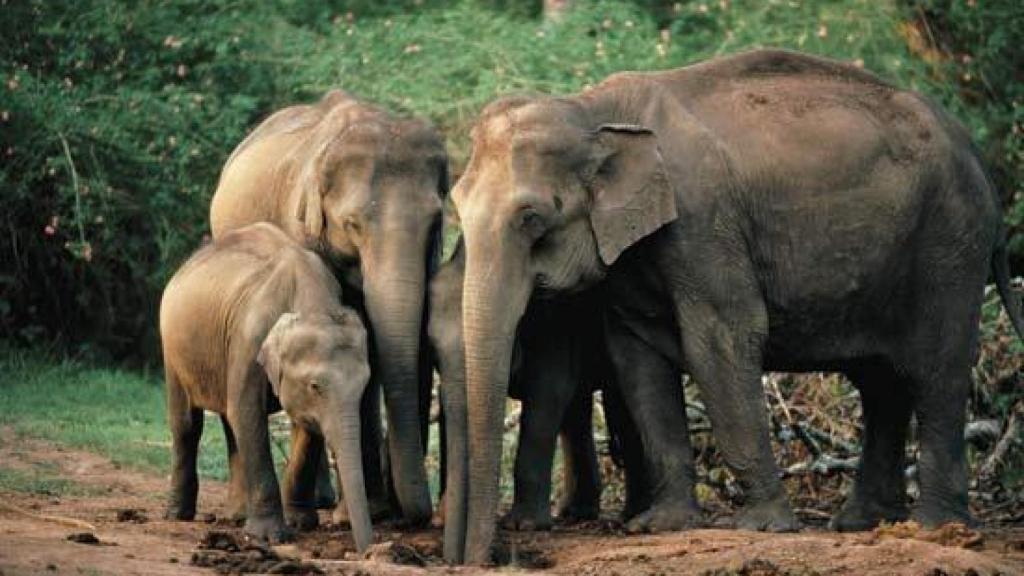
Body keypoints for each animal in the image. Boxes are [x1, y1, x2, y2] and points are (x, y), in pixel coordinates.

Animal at [159, 223, 373, 550]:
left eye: (364, 385)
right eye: (315, 386)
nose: (368, 549)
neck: (313, 302)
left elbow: (305, 426)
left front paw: (300, 523)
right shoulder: (249, 340)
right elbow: (248, 413)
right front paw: (271, 536)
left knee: (229, 422)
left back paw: (237, 516)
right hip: (173, 350)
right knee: (187, 424)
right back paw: (178, 515)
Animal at [209, 90, 447, 524]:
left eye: (435, 222)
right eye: (352, 223)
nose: (415, 514)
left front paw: (373, 510)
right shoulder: (301, 226)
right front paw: (357, 515)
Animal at [430, 239, 654, 558]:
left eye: (515, 327)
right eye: (432, 346)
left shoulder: (555, 318)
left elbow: (550, 389)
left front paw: (523, 526)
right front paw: (442, 519)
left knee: (617, 403)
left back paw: (630, 516)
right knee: (579, 411)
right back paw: (576, 513)